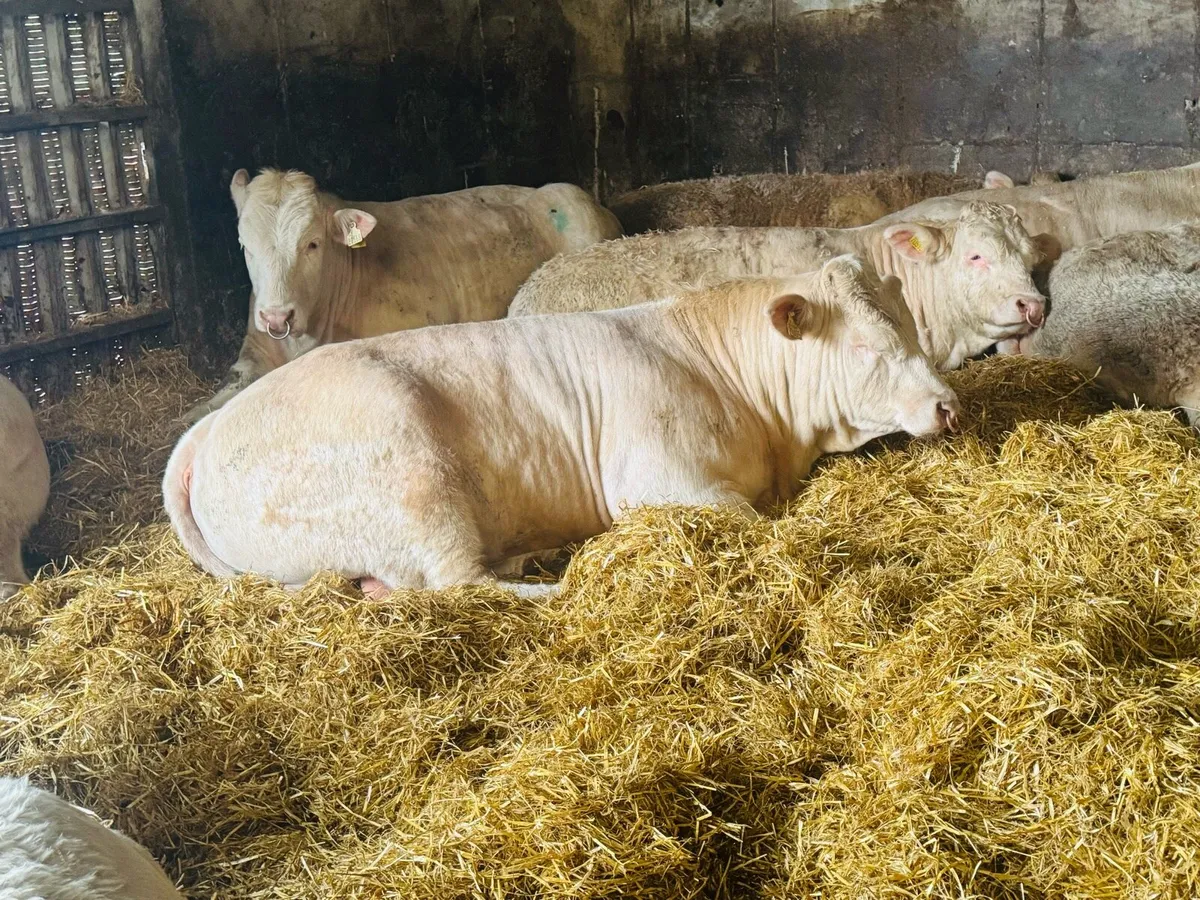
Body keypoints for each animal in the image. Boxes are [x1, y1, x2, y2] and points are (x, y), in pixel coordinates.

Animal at [164, 257, 959, 597]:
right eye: (866, 347)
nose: (948, 404)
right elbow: (754, 524)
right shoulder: (660, 481)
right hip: (415, 478)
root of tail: (205, 434)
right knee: (458, 584)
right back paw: (556, 579)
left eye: (913, 325)